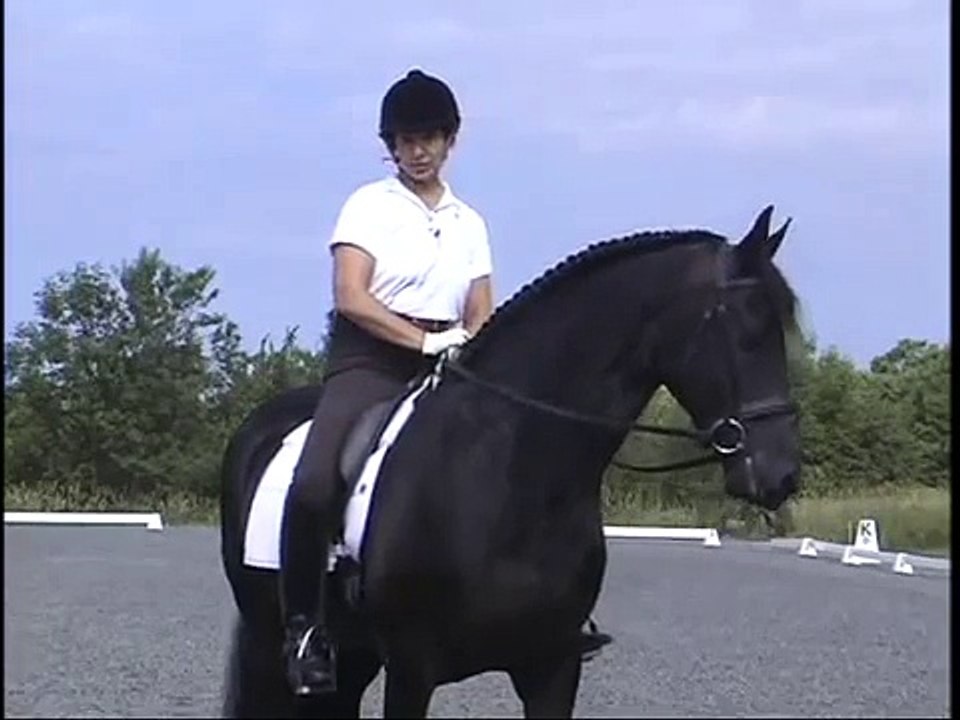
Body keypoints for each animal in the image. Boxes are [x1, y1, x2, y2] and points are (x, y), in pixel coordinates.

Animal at [219, 206, 802, 718]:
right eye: (748, 329)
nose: (781, 473)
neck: (511, 470)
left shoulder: (552, 667)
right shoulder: (411, 670)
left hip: (355, 655)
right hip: (271, 640)